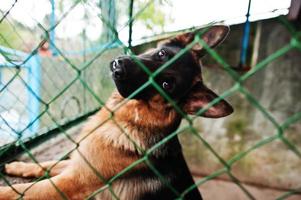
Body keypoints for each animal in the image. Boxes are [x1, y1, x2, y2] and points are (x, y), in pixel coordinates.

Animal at [0, 25, 232, 200]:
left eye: (166, 84)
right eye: (161, 54)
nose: (120, 66)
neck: (127, 119)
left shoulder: (73, 182)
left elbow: (23, 190)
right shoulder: (78, 164)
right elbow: (46, 165)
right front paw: (18, 166)